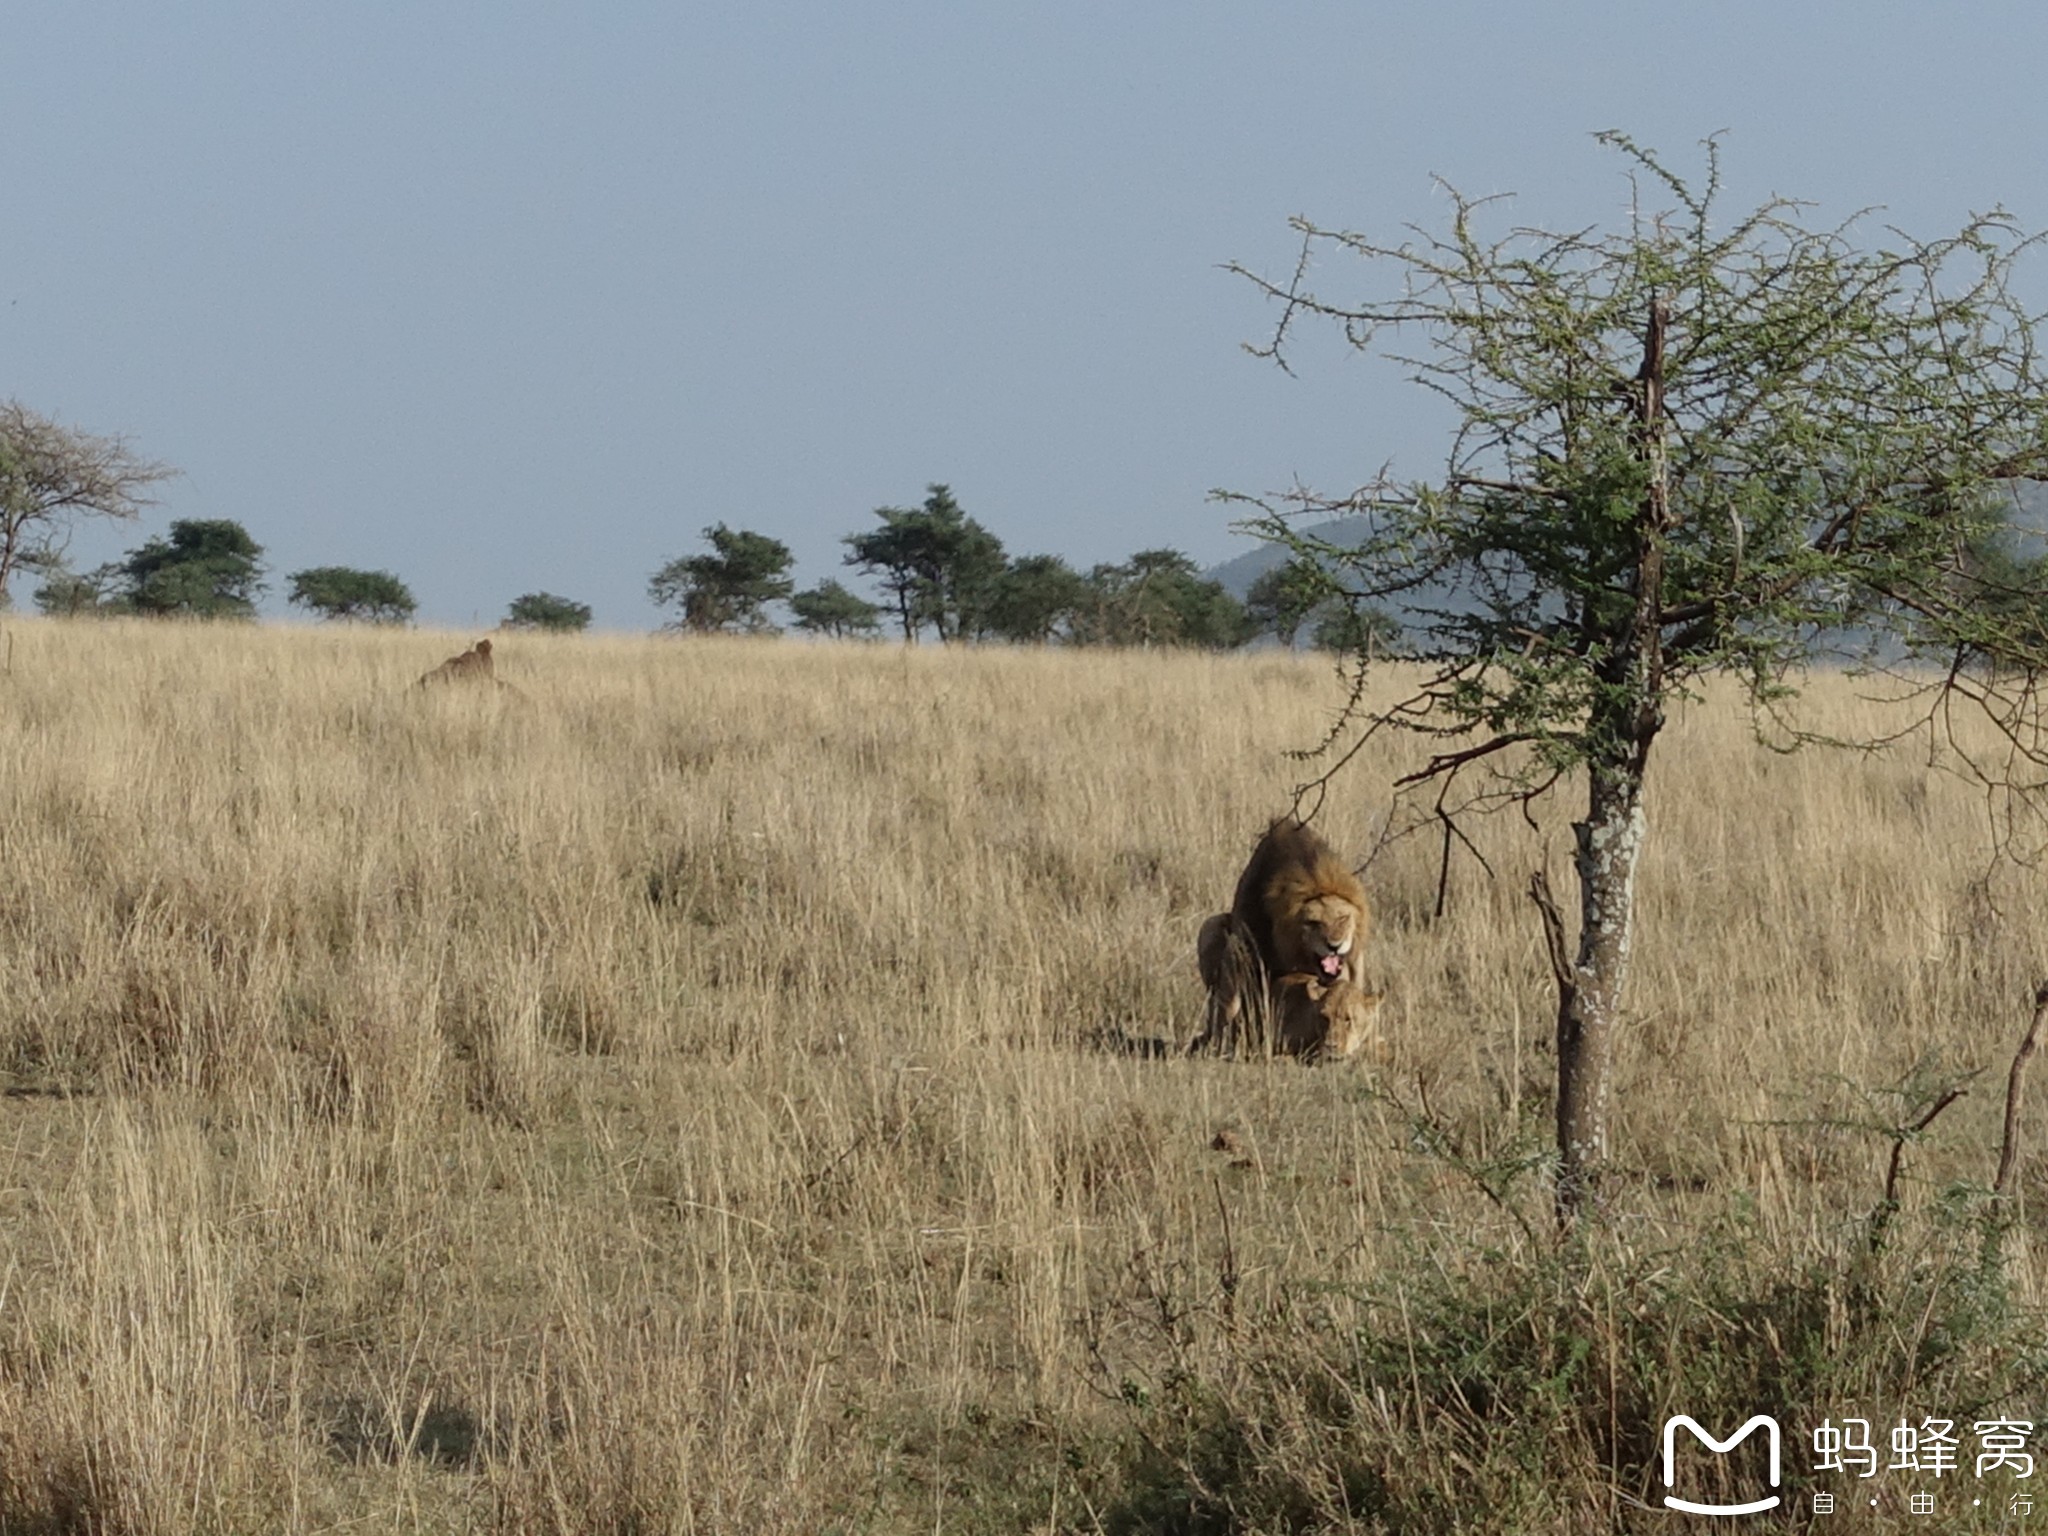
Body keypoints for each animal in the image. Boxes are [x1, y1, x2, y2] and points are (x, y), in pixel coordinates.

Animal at [1187, 823, 1376, 1064]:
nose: (1335, 945)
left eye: (1342, 918)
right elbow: (1239, 1006)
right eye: (1313, 923)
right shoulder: (1244, 946)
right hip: (1211, 925)